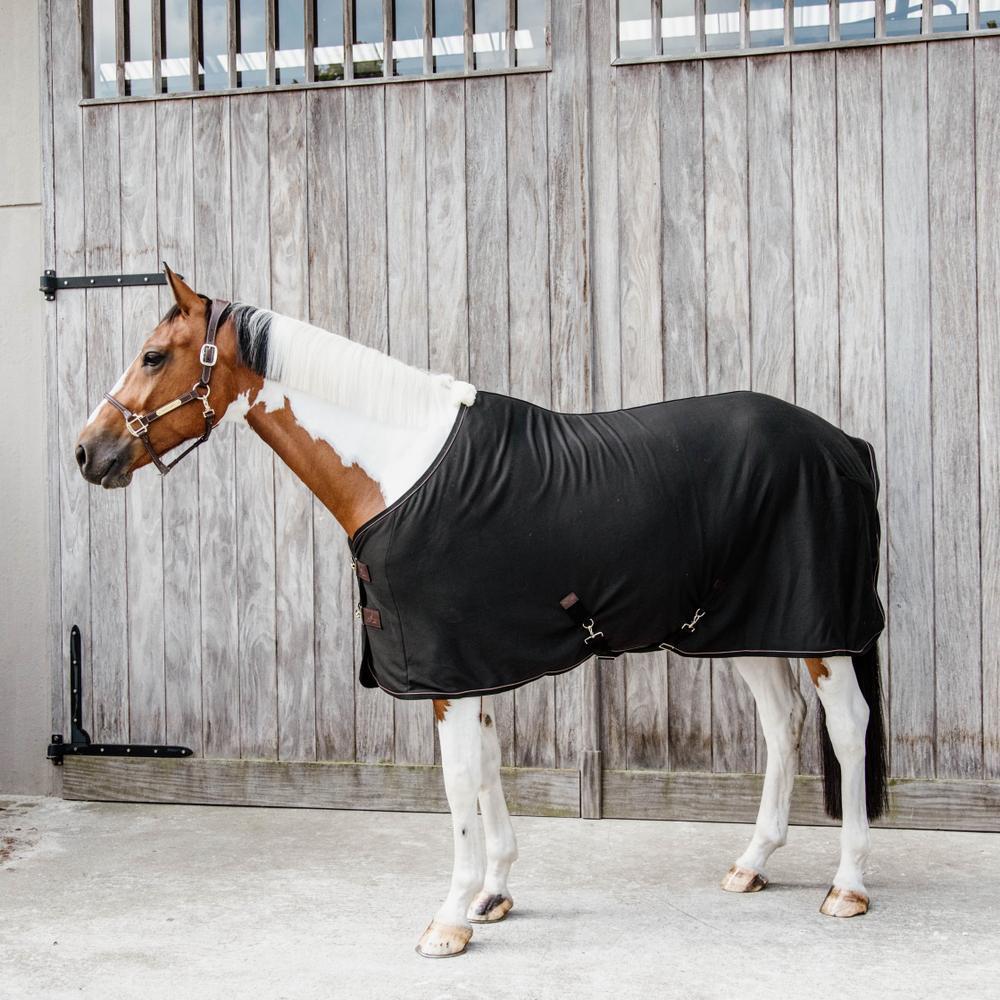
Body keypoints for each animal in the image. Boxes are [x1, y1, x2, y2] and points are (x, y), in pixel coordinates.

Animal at [75, 265, 888, 957]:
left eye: (152, 356)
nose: (88, 452)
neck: (402, 467)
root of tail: (840, 442)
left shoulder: (448, 670)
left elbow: (460, 782)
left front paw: (449, 918)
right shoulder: (473, 665)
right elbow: (490, 767)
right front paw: (492, 894)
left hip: (820, 631)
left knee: (846, 728)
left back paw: (847, 886)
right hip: (748, 628)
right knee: (782, 724)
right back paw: (753, 863)